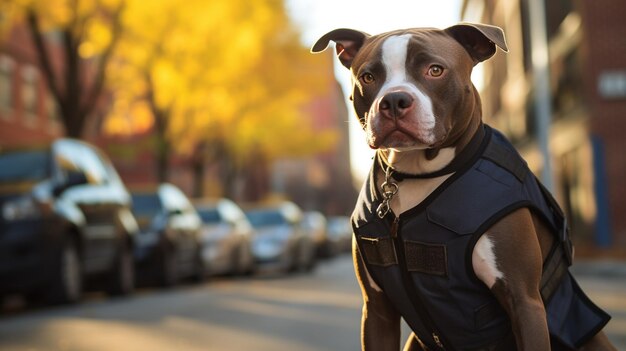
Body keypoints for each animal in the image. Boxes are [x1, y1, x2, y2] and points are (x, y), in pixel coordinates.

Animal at [310, 23, 612, 350]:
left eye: (435, 70)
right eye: (368, 76)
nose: (393, 101)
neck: (416, 174)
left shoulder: (524, 302)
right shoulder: (377, 309)